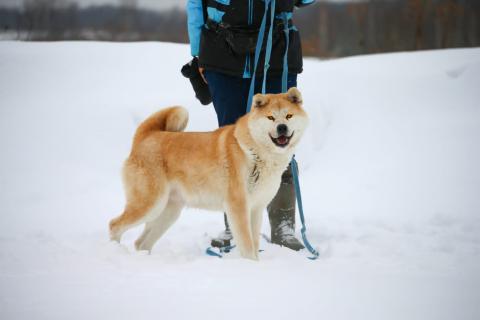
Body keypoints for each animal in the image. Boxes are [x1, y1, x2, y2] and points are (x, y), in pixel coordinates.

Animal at [109, 87, 308, 260]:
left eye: (289, 116)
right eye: (270, 117)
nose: (282, 127)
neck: (255, 153)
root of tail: (145, 136)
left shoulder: (256, 209)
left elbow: (254, 243)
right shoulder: (238, 207)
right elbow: (247, 246)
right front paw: (251, 265)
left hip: (167, 212)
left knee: (141, 243)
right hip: (149, 205)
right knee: (114, 226)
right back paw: (115, 251)